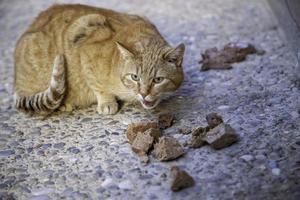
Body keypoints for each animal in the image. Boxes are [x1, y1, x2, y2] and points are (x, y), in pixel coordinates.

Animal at [13, 3, 185, 115]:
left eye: (158, 80)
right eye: (135, 77)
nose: (143, 94)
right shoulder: (86, 49)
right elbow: (98, 85)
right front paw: (107, 102)